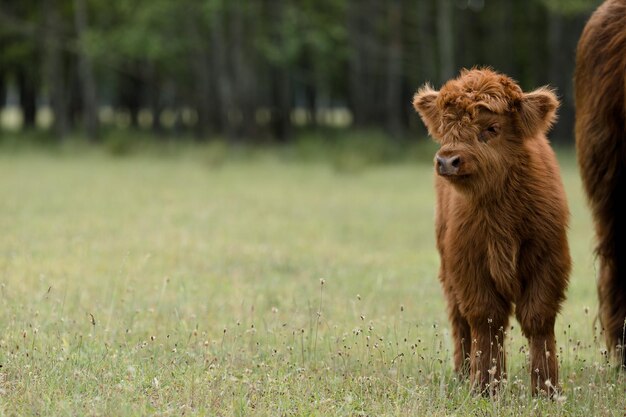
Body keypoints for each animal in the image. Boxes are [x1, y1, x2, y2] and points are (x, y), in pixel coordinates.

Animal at [412, 67, 568, 394]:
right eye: (445, 127)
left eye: (492, 128)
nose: (447, 161)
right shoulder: (469, 266)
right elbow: (486, 321)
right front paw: (485, 386)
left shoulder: (548, 261)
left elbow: (538, 319)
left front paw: (546, 388)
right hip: (448, 273)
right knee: (459, 320)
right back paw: (463, 373)